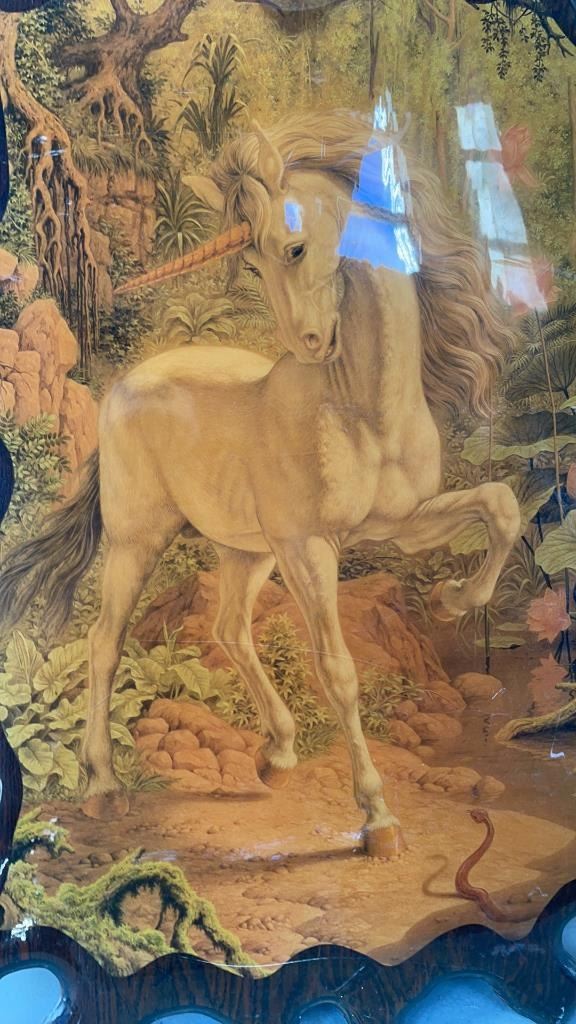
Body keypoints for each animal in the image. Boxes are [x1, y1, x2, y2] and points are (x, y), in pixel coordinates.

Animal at [0, 111, 520, 857]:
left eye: (294, 248)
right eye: (256, 260)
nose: (310, 343)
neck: (361, 409)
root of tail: (125, 386)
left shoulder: (403, 524)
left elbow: (502, 506)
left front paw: (454, 599)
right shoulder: (310, 546)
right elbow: (337, 670)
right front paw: (378, 820)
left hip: (246, 552)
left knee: (228, 628)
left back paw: (276, 753)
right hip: (139, 543)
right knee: (104, 641)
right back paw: (101, 785)